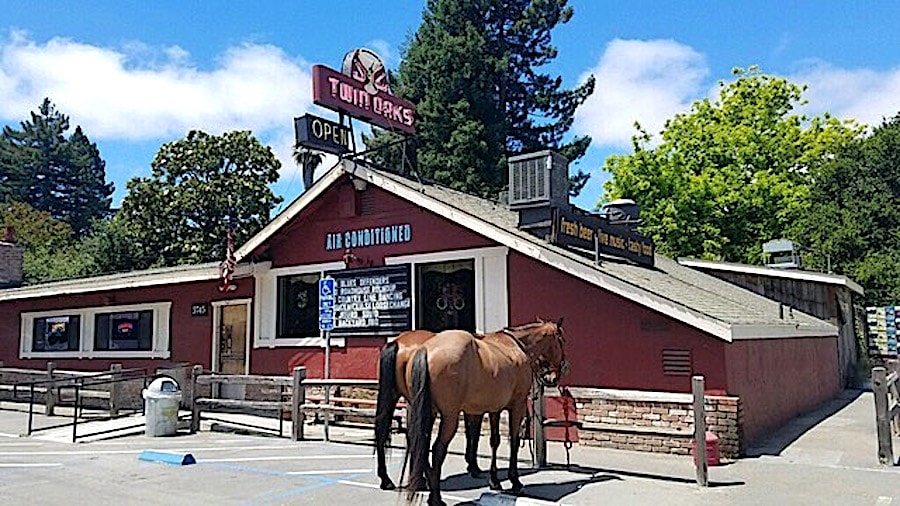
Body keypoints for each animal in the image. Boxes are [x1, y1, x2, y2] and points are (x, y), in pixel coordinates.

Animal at [372, 328, 486, 490]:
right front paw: (474, 467)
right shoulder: (475, 410)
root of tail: (397, 342)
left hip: (395, 397)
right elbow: (473, 435)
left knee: (384, 430)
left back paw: (388, 479)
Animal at [404, 320, 568, 506]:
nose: (551, 379)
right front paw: (515, 481)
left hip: (428, 413)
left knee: (422, 447)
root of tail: (426, 350)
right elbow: (514, 441)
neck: (517, 346)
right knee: (438, 450)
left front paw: (495, 480)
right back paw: (436, 498)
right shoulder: (517, 406)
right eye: (562, 340)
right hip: (450, 417)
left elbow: (494, 442)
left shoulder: (494, 409)